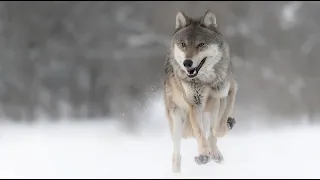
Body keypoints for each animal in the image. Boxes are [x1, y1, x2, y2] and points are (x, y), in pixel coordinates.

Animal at [162, 10, 238, 173]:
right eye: (183, 44)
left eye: (201, 44)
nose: (187, 63)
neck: (206, 81)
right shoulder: (195, 104)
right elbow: (201, 133)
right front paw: (203, 155)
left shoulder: (226, 94)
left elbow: (217, 129)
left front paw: (213, 150)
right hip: (177, 122)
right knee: (177, 155)